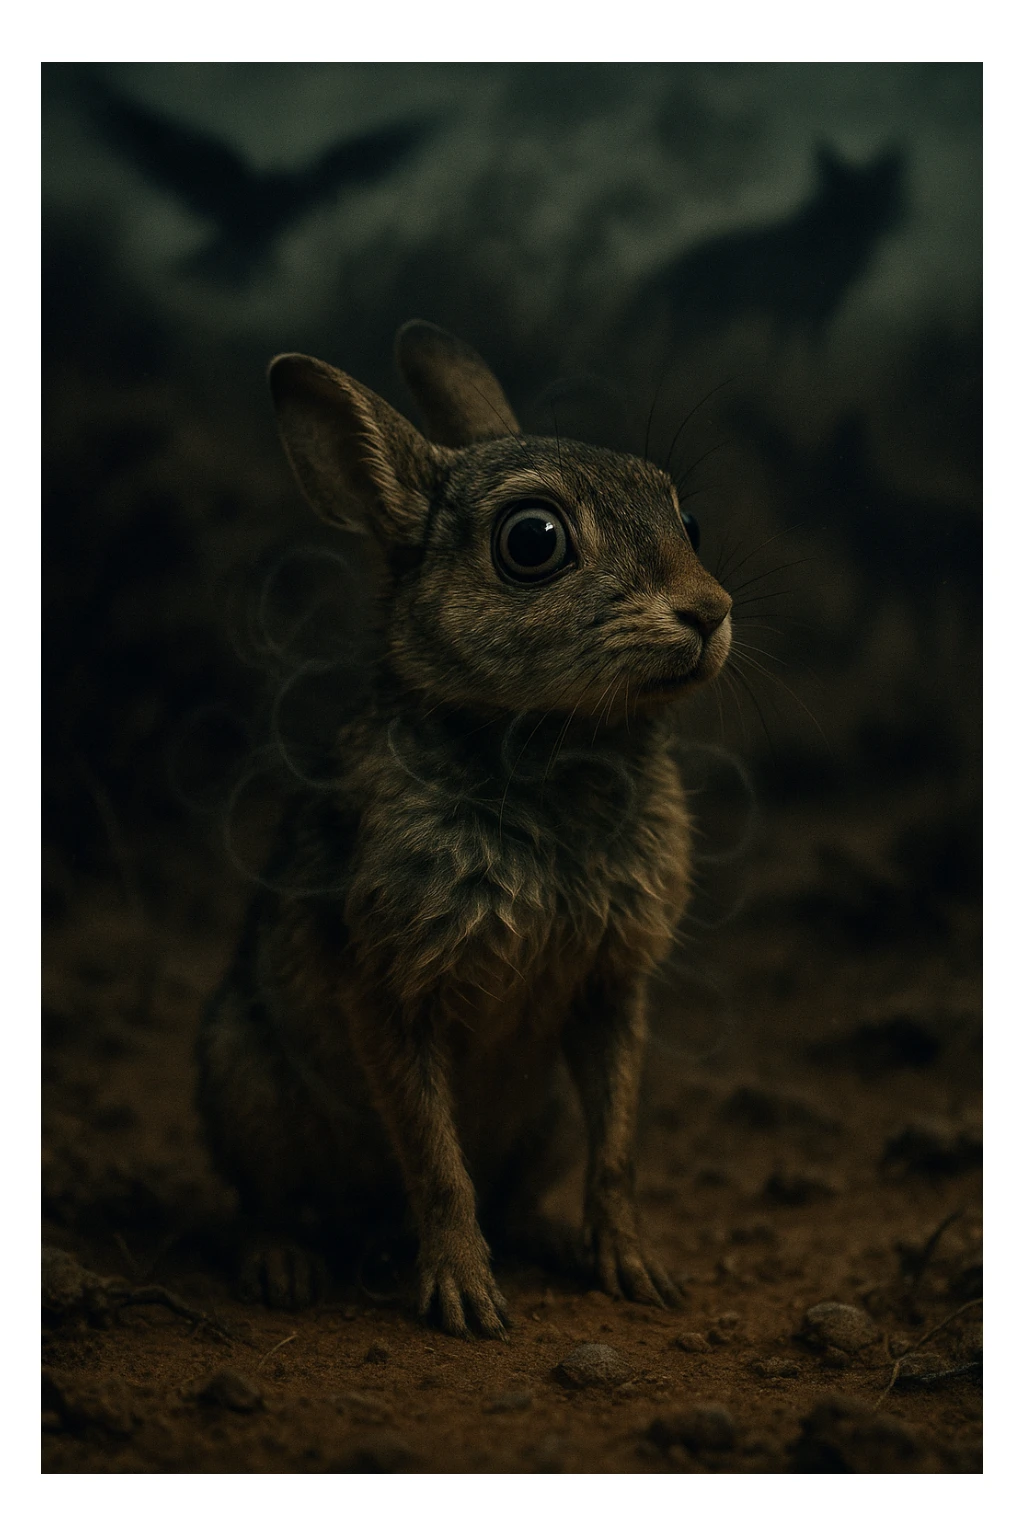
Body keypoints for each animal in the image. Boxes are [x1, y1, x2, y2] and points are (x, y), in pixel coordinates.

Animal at [197, 320, 733, 1338]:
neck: (554, 752)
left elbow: (618, 1149)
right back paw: (282, 1265)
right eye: (533, 541)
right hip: (248, 1083)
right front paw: (464, 1297)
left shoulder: (612, 985)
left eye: (687, 523)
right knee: (265, 1199)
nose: (711, 612)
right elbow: (435, 1157)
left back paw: (551, 1241)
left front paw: (637, 1270)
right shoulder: (391, 982)